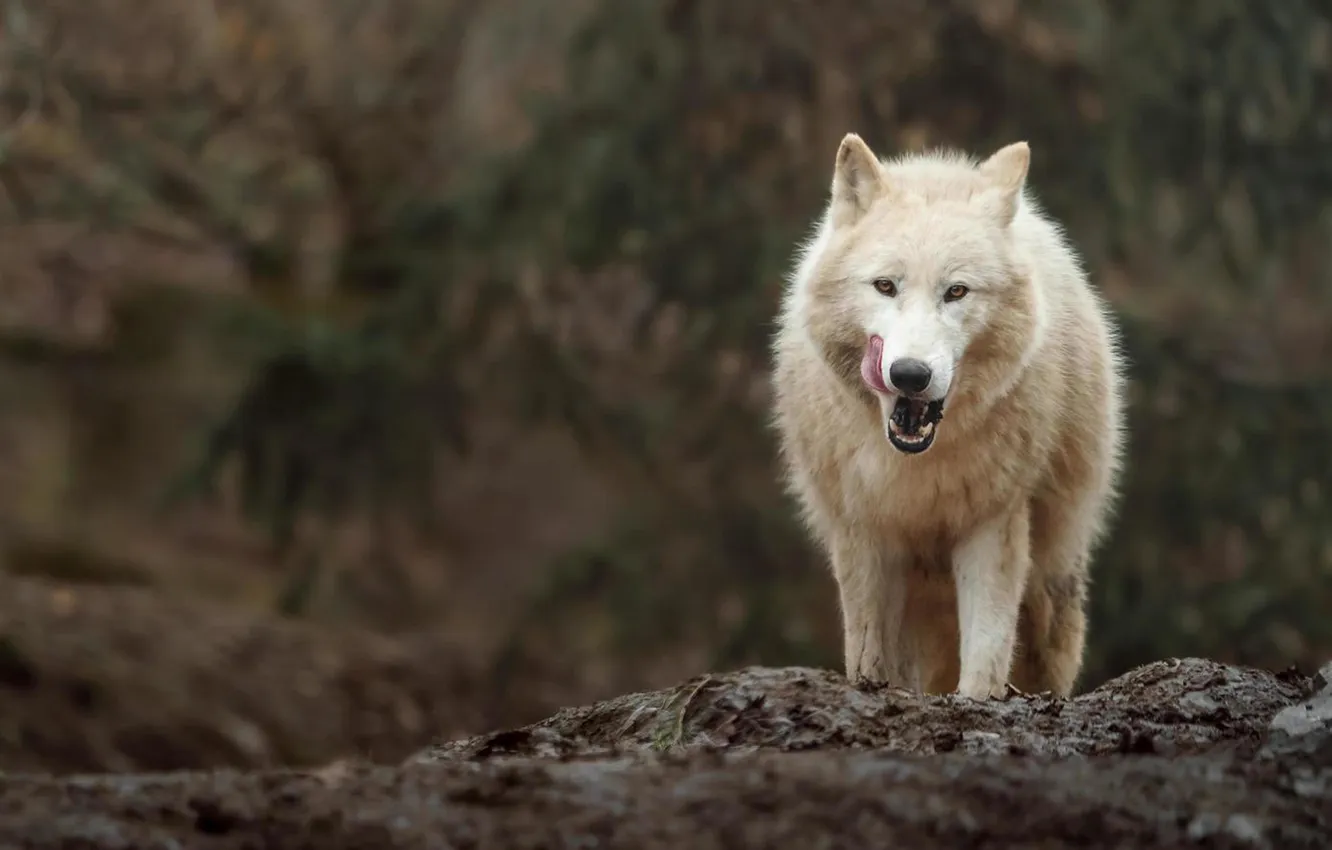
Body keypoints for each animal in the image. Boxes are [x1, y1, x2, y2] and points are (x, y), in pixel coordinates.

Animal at [771, 134, 1126, 699]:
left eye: (956, 291)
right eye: (885, 286)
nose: (910, 375)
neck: (916, 465)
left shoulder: (992, 522)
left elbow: (986, 649)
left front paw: (979, 700)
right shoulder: (864, 534)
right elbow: (868, 653)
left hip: (1052, 580)